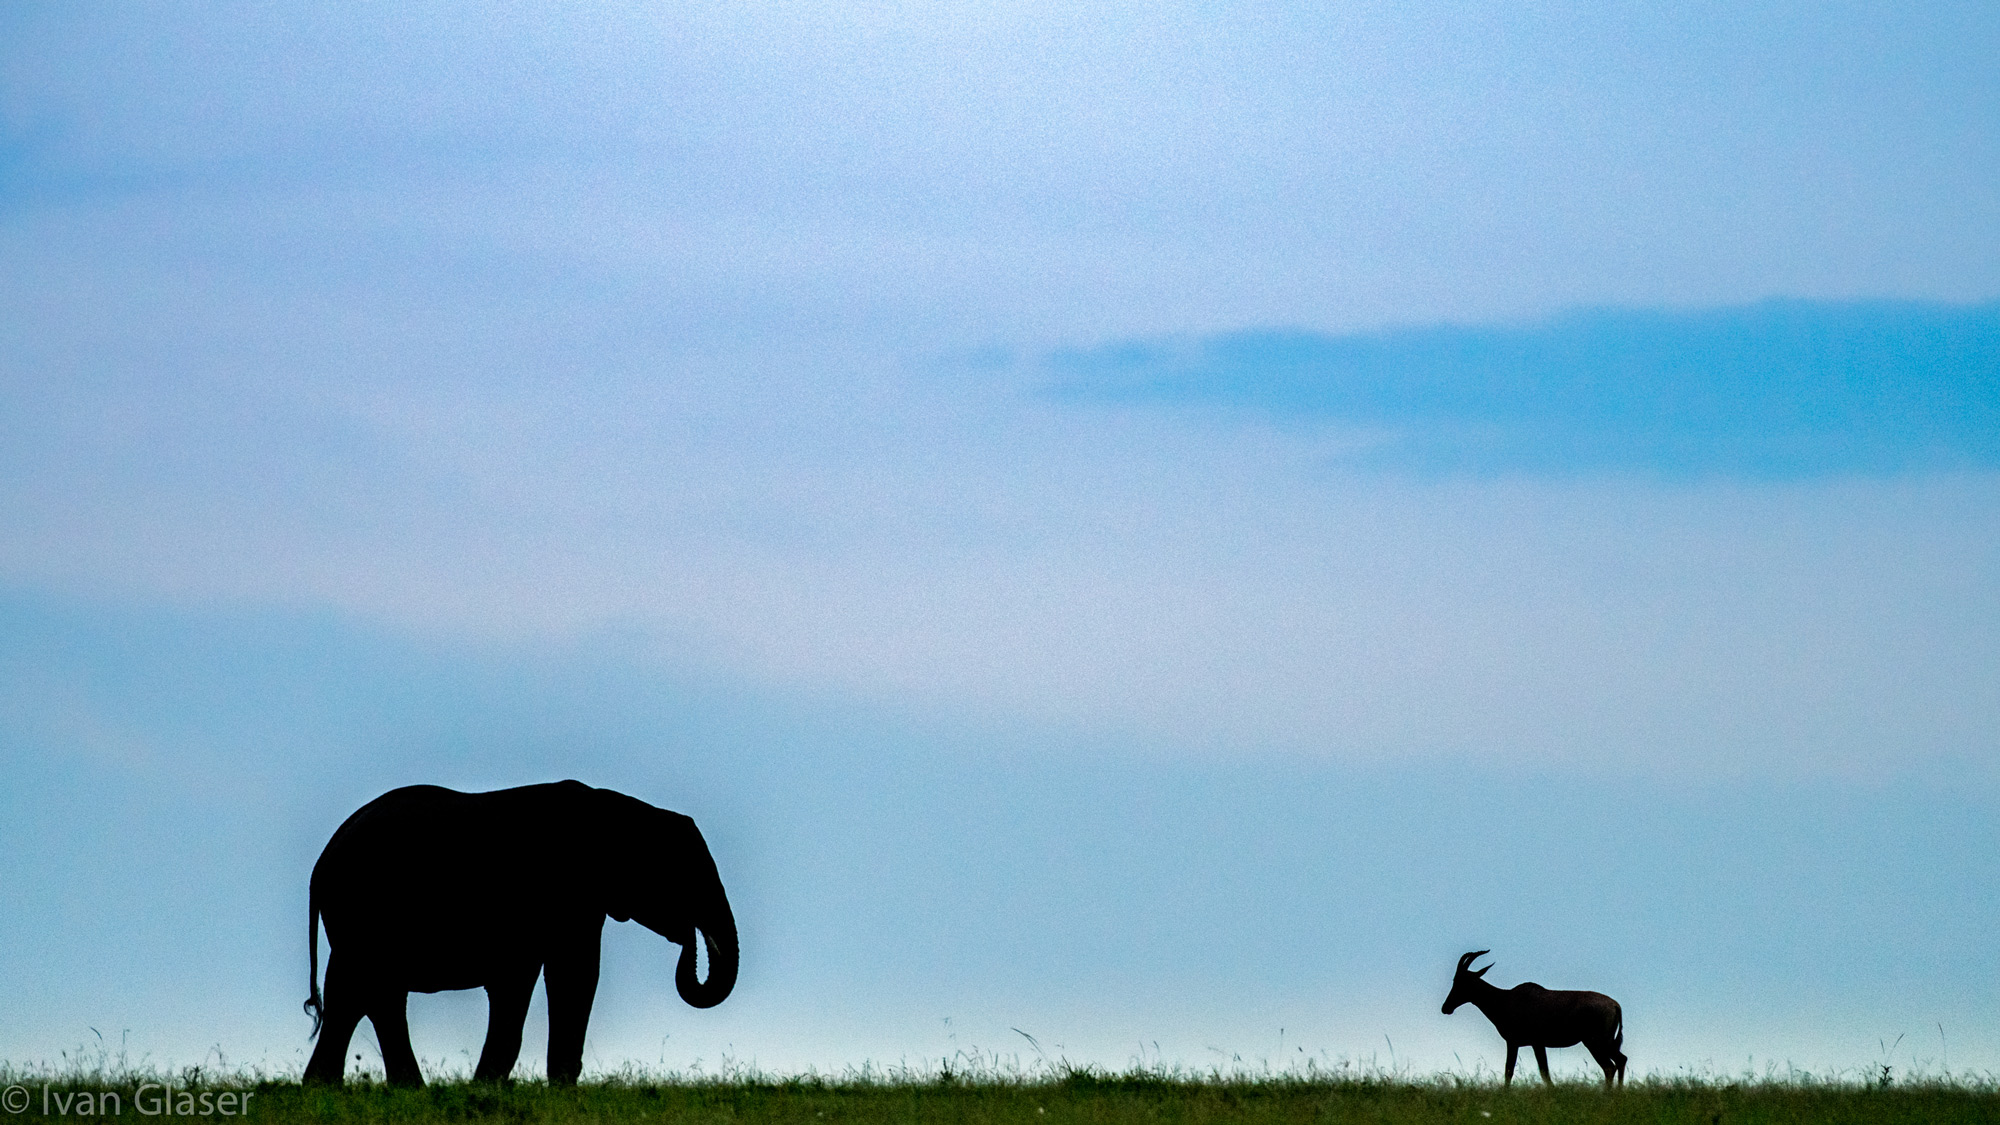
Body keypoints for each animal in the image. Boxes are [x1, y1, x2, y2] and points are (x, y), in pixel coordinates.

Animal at [308, 776, 748, 1080]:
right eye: (685, 876)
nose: (689, 938)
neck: (618, 810)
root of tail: (323, 858)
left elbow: (564, 978)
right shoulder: (558, 893)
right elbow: (560, 977)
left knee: (360, 996)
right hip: (363, 911)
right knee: (367, 994)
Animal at [1448, 944, 1632, 1088]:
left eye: (1461, 981)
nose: (1446, 1007)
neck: (1506, 998)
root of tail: (1614, 1005)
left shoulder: (1524, 1043)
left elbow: (1522, 1071)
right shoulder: (1532, 1044)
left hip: (1595, 1043)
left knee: (1609, 1067)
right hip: (1607, 1043)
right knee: (1621, 1060)